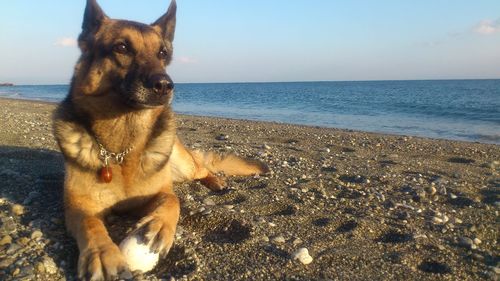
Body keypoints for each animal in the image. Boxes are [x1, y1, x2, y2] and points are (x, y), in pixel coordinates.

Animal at [52, 1, 268, 278]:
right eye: (122, 47)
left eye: (162, 53)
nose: (165, 85)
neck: (122, 149)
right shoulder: (78, 206)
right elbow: (90, 223)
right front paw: (101, 253)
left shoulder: (162, 191)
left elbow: (172, 199)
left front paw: (157, 226)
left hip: (184, 164)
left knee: (202, 168)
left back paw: (216, 181)